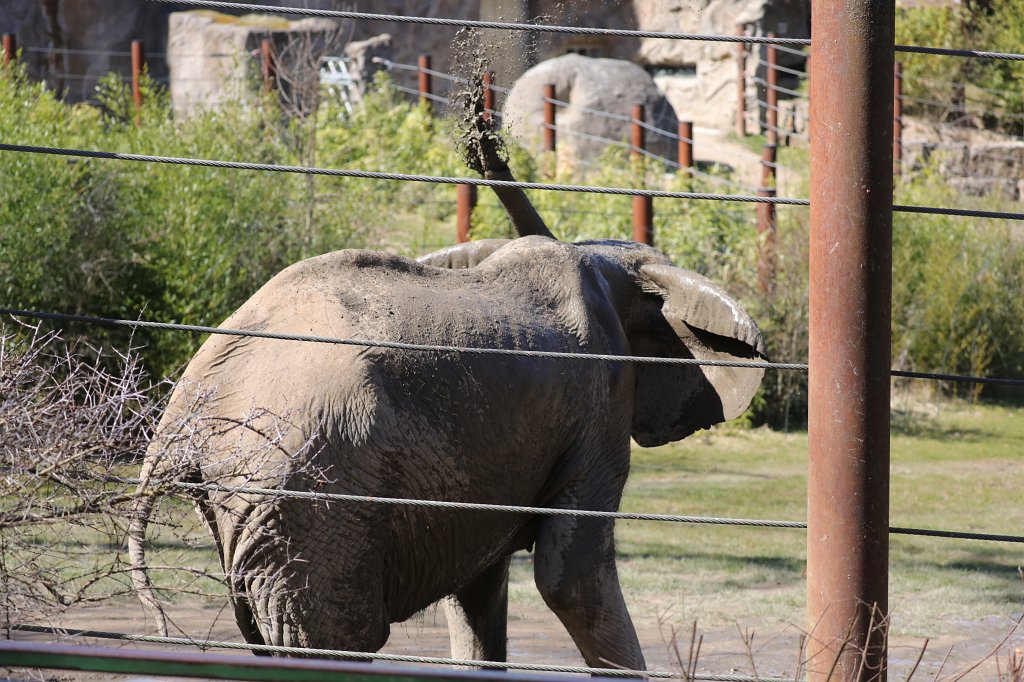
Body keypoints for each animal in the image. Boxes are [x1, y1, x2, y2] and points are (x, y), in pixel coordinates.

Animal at [128, 112, 765, 673]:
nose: (485, 137)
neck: (602, 259)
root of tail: (183, 412)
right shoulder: (600, 399)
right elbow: (571, 577)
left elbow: (479, 589)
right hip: (309, 494)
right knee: (338, 637)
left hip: (255, 503)